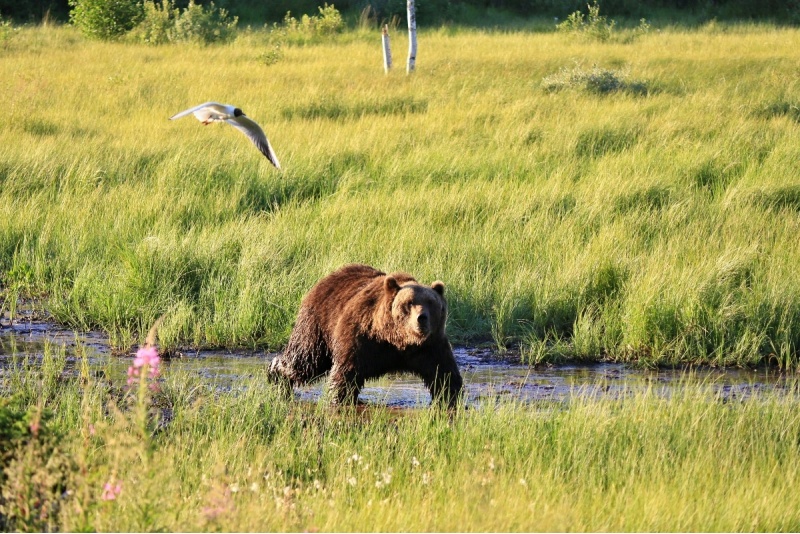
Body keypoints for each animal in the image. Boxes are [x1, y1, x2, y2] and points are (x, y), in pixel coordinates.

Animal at [270, 264, 462, 410]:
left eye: (431, 303)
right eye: (409, 303)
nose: (421, 318)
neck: (398, 340)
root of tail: (325, 280)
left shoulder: (431, 346)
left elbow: (443, 375)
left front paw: (450, 399)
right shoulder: (362, 338)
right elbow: (345, 373)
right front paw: (339, 399)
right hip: (318, 325)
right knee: (305, 360)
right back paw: (276, 375)